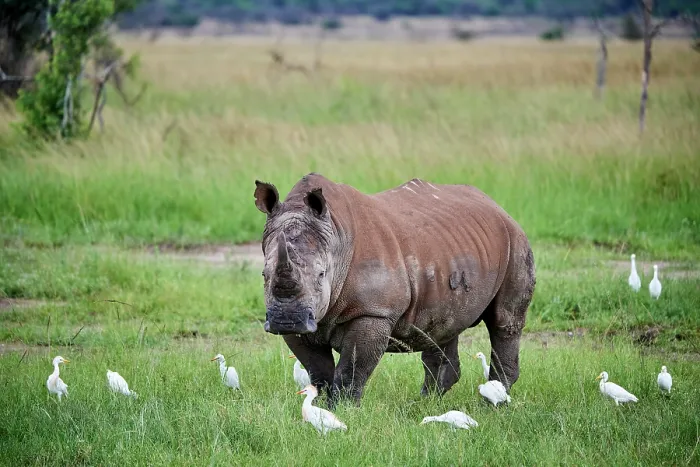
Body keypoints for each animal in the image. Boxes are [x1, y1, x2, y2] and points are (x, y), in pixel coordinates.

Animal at [254, 173, 535, 408]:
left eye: (322, 275)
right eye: (264, 275)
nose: (286, 320)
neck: (335, 237)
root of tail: (496, 205)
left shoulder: (373, 312)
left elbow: (351, 371)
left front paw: (342, 411)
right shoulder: (304, 320)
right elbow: (318, 370)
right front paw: (322, 407)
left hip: (515, 240)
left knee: (504, 321)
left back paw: (492, 404)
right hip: (447, 250)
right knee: (445, 325)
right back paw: (424, 404)